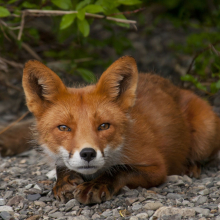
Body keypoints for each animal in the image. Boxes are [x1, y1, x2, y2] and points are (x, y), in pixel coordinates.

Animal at [21, 56, 220, 205]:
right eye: (64, 128)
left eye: (104, 126)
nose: (88, 153)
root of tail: (177, 88)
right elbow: (61, 166)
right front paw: (64, 180)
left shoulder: (157, 168)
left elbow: (120, 169)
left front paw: (96, 185)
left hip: (205, 135)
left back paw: (191, 166)